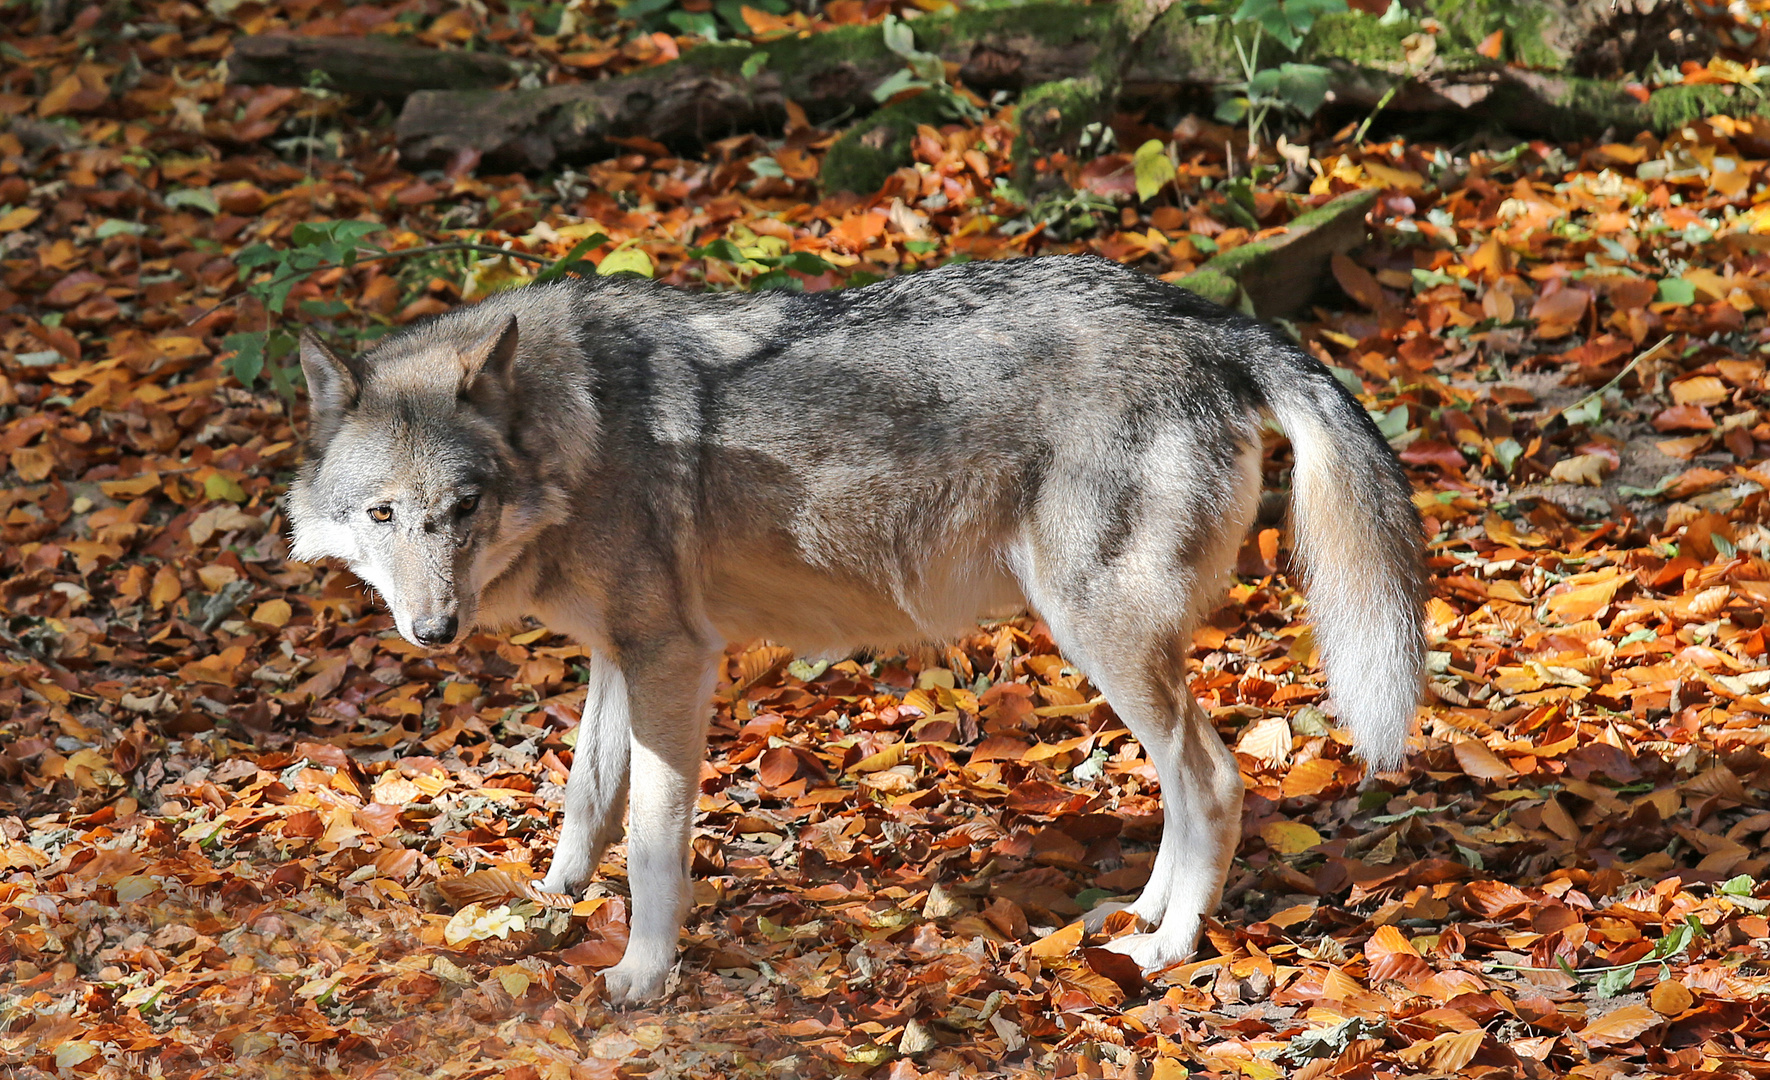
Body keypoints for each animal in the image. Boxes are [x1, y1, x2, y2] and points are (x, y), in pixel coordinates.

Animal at [286, 251, 1423, 998]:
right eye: (383, 516)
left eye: (463, 507)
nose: (433, 630)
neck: (573, 429)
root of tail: (1205, 316)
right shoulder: (623, 655)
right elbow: (585, 800)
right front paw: (551, 904)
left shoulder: (674, 661)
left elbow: (651, 840)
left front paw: (642, 976)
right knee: (1187, 791)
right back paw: (1140, 917)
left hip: (1101, 637)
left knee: (1217, 782)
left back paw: (1169, 950)